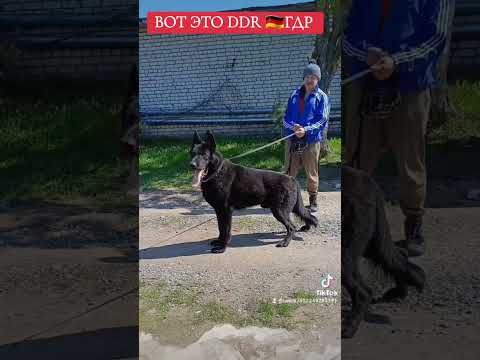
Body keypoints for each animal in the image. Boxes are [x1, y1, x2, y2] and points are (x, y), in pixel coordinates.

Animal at [188, 130, 318, 253]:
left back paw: (285, 242)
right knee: (306, 215)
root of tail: (291, 178)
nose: (191, 165)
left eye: (203, 155)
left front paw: (222, 247)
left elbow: (226, 230)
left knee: (292, 227)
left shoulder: (225, 211)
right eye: (192, 154)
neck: (217, 172)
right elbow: (221, 228)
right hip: (290, 208)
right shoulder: (219, 211)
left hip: (280, 211)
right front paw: (219, 241)